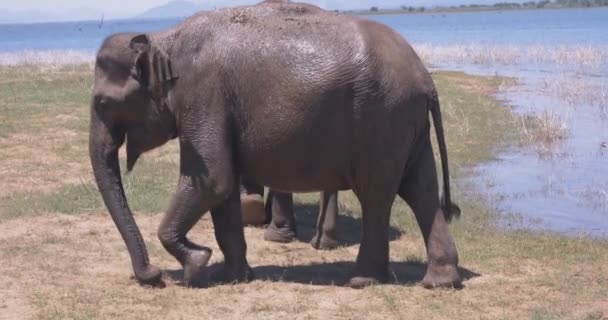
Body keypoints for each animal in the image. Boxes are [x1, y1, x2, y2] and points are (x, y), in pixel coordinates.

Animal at [89, 0, 460, 290]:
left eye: (103, 103)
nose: (152, 276)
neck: (164, 37)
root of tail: (425, 79)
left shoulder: (203, 94)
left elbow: (213, 180)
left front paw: (197, 264)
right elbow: (223, 190)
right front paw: (231, 276)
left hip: (381, 120)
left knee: (377, 195)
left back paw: (363, 280)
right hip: (405, 124)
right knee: (421, 189)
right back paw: (440, 281)